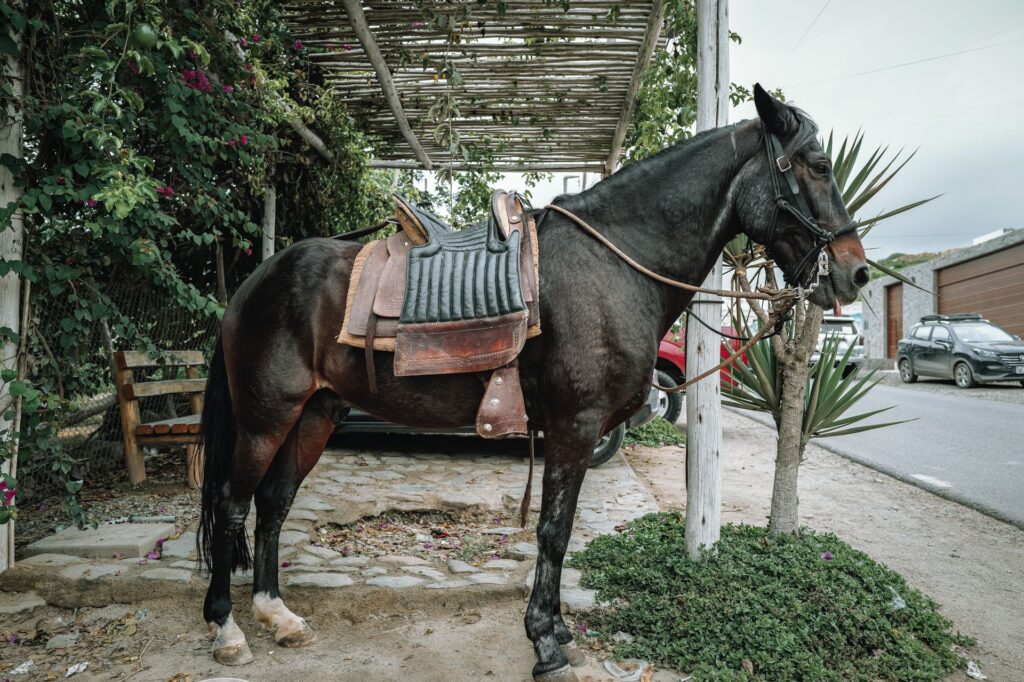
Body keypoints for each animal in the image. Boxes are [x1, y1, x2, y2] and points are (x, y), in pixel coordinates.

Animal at [195, 85, 868, 681]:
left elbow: (558, 533)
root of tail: (255, 281)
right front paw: (544, 641)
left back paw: (276, 614)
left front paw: (558, 629)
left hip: (315, 414)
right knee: (231, 504)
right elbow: (553, 530)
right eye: (818, 165)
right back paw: (227, 627)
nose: (857, 272)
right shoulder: (575, 427)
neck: (615, 262)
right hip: (266, 416)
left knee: (273, 503)